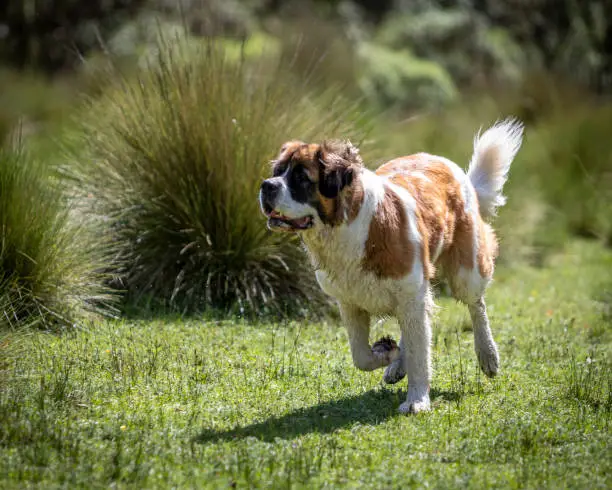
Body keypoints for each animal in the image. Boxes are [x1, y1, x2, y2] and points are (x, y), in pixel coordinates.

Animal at [260, 119, 524, 414]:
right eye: (277, 172)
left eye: (301, 178)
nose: (266, 185)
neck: (348, 228)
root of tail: (448, 165)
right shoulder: (350, 303)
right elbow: (361, 357)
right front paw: (387, 353)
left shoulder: (412, 293)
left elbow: (421, 354)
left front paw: (417, 401)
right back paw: (398, 364)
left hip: (466, 272)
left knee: (476, 306)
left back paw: (488, 355)